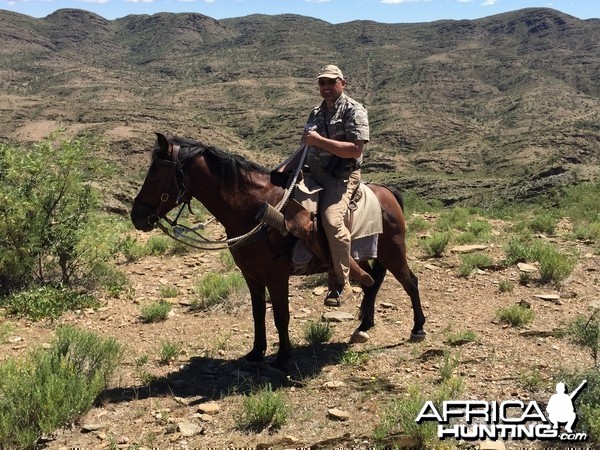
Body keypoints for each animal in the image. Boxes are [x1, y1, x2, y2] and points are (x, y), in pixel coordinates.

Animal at [131, 132, 424, 368]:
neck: (253, 208)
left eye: (155, 171)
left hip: (393, 251)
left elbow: (281, 315)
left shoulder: (276, 276)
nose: (137, 216)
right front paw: (256, 352)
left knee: (410, 281)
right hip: (361, 256)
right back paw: (363, 327)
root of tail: (387, 192)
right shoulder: (251, 275)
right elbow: (258, 312)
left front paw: (283, 358)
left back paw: (418, 329)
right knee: (371, 282)